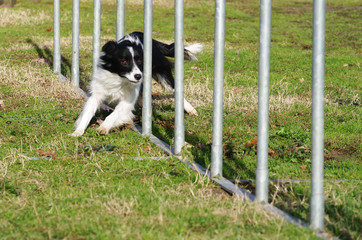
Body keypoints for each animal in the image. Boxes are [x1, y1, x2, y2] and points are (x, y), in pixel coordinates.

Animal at [69, 31, 202, 137]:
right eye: (124, 61)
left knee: (175, 90)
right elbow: (87, 113)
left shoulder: (127, 100)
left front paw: (104, 127)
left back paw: (190, 109)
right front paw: (77, 132)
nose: (138, 76)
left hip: (163, 76)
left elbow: (115, 114)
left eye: (139, 61)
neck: (120, 79)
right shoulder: (98, 93)